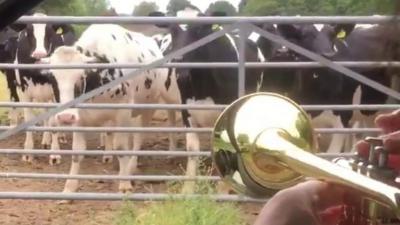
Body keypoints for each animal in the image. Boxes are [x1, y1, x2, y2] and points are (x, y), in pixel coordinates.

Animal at [38, 23, 180, 196]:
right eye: (52, 78)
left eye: (81, 77)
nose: (65, 117)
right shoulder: (79, 118)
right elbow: (77, 152)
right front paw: (69, 187)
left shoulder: (123, 111)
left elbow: (121, 147)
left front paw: (125, 184)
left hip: (147, 107)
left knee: (138, 137)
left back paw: (131, 166)